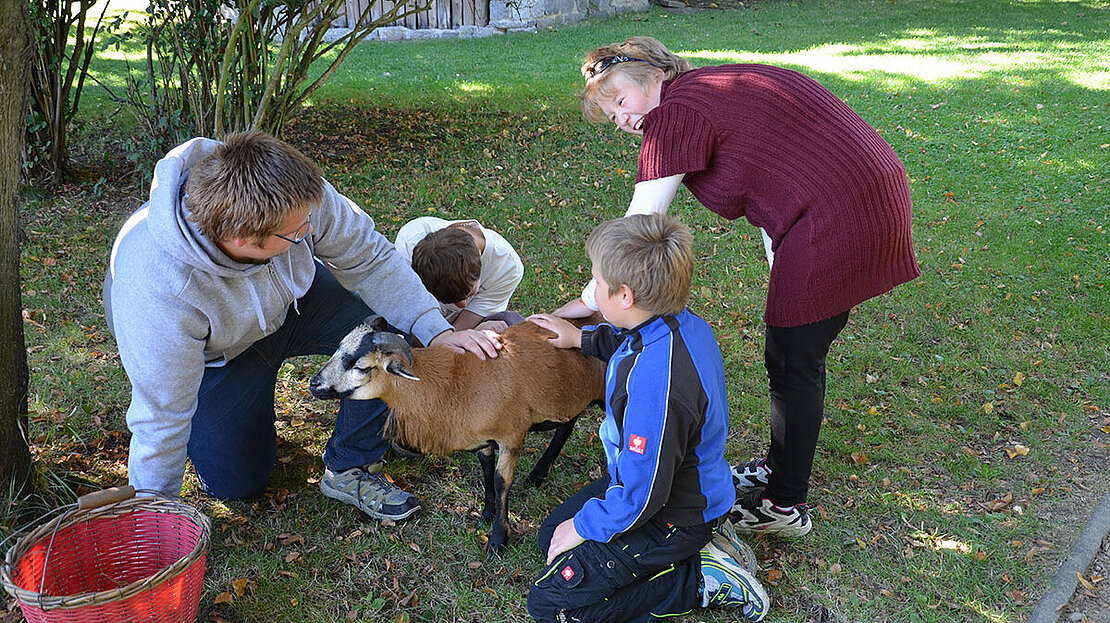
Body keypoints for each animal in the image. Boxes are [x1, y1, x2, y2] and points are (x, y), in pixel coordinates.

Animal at [308, 315, 603, 553]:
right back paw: (538, 474)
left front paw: (498, 540)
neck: (454, 382)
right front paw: (486, 513)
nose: (314, 384)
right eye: (338, 349)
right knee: (567, 424)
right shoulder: (485, 438)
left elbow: (501, 482)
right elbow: (486, 468)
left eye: (361, 367)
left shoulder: (512, 436)